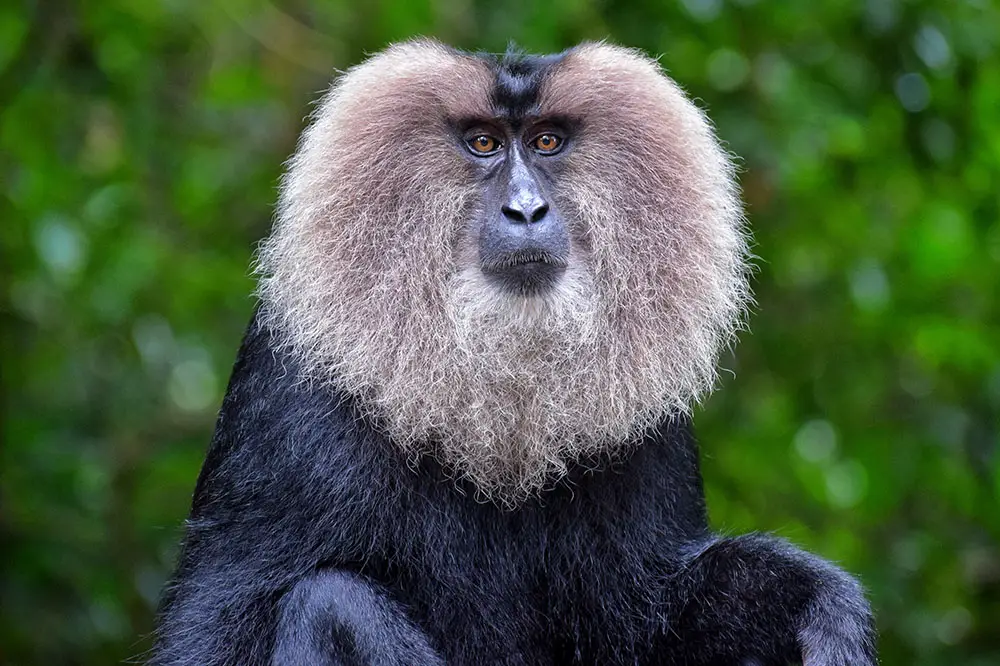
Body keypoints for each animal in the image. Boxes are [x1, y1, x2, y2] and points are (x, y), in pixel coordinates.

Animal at [148, 41, 876, 664]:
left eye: (547, 141)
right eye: (484, 143)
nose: (525, 209)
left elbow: (645, 617)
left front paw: (820, 607)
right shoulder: (283, 394)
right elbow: (217, 630)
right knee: (330, 604)